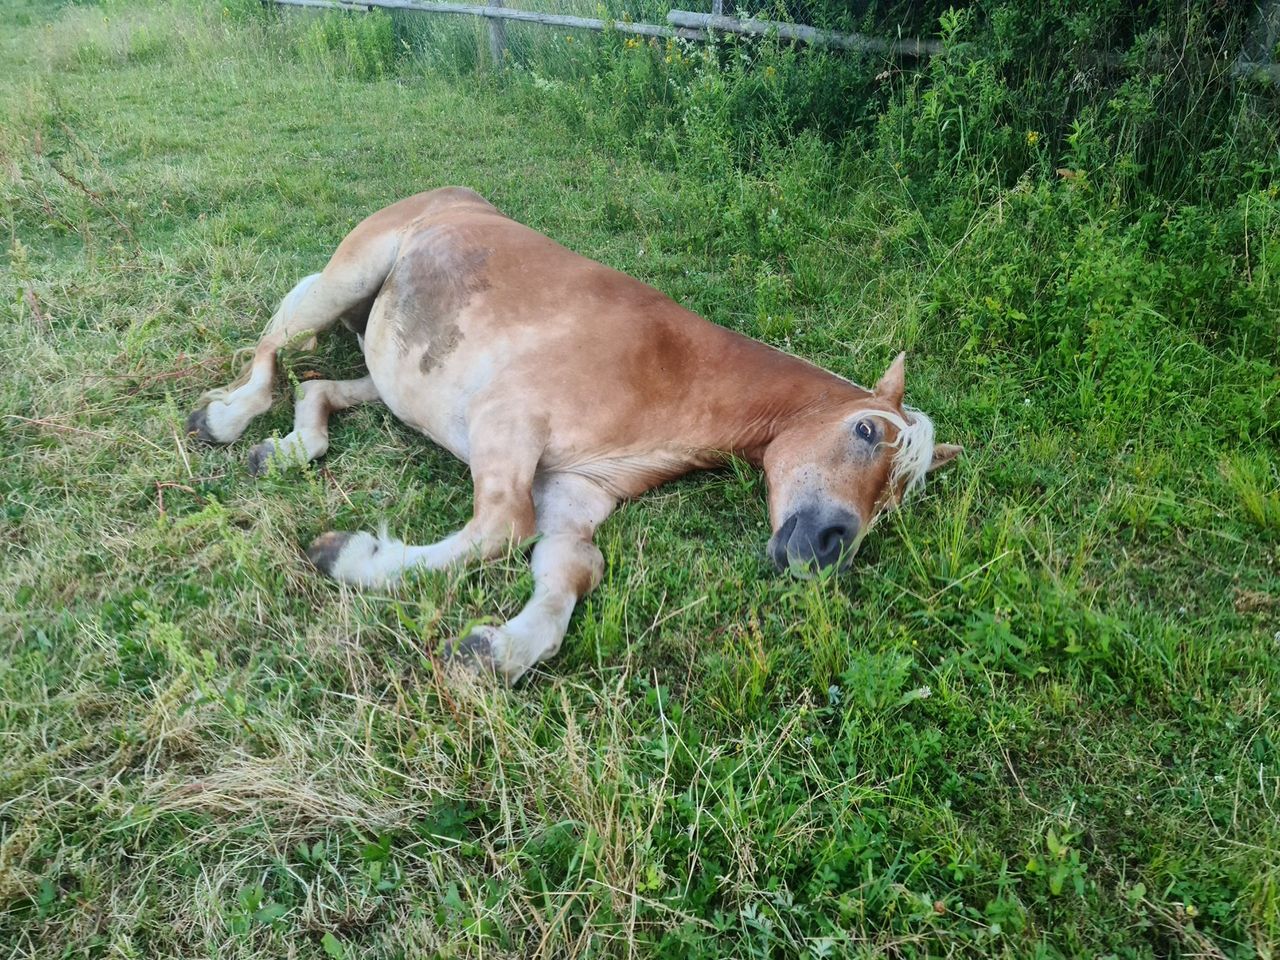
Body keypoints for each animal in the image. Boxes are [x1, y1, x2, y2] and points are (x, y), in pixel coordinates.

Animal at [183, 188, 962, 686]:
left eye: (897, 501)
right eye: (864, 430)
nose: (830, 550)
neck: (668, 372)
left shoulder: (575, 493)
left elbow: (573, 568)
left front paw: (498, 650)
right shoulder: (506, 423)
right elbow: (503, 525)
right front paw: (349, 556)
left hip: (393, 376)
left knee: (317, 390)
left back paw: (286, 447)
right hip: (343, 282)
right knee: (274, 351)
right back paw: (224, 420)